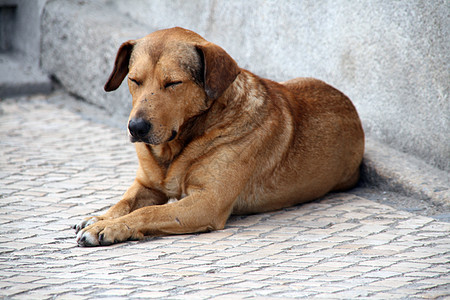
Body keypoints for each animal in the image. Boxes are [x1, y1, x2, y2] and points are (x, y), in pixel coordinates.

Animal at [74, 27, 362, 246]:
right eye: (134, 80)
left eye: (173, 83)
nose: (136, 127)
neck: (176, 147)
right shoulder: (146, 185)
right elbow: (125, 201)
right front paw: (102, 217)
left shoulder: (207, 203)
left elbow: (149, 211)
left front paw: (110, 227)